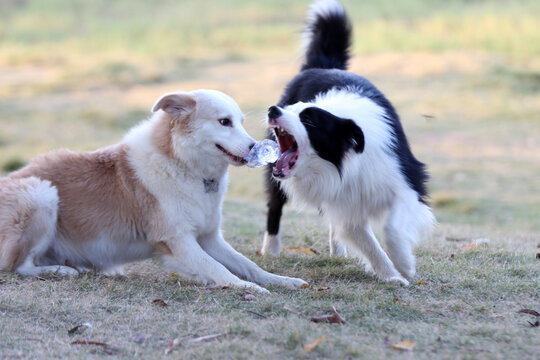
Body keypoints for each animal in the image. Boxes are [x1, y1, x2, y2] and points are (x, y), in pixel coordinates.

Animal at [0, 89, 308, 292]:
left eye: (241, 121)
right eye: (224, 122)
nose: (255, 147)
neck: (184, 164)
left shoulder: (209, 238)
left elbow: (248, 265)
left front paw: (282, 281)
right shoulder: (177, 239)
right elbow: (217, 268)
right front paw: (247, 289)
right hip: (41, 193)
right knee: (16, 266)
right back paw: (62, 271)